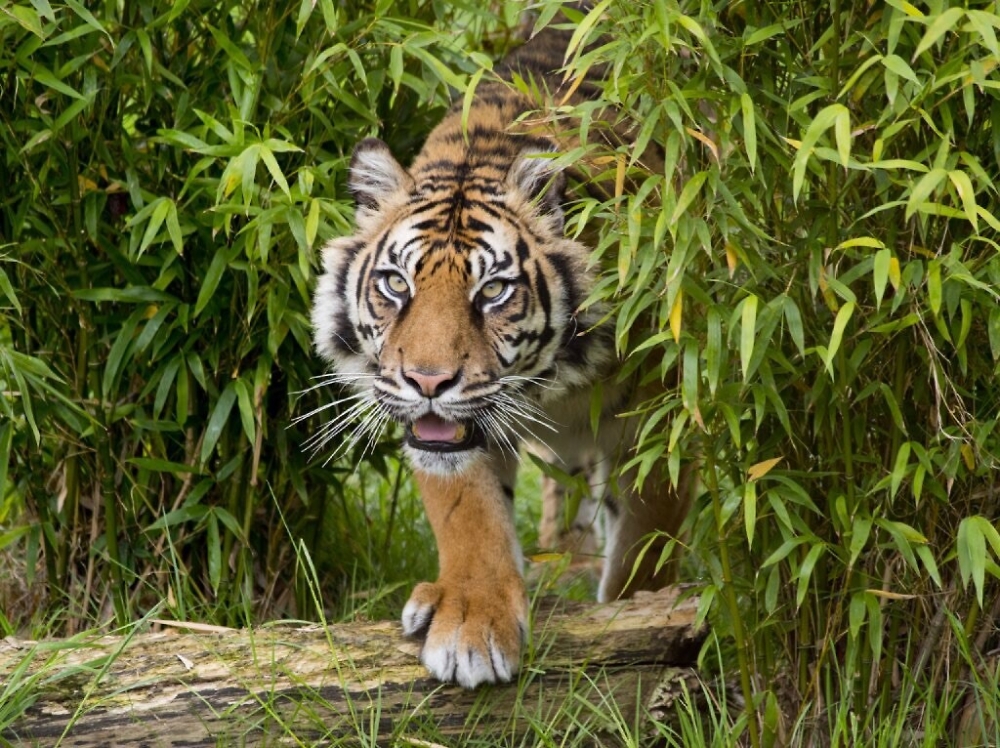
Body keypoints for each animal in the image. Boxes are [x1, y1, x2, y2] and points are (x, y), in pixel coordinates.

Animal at [308, 5, 692, 688]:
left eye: (492, 291)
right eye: (396, 283)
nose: (427, 382)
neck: (555, 385)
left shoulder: (665, 410)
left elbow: (647, 534)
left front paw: (639, 622)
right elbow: (469, 511)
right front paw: (472, 623)